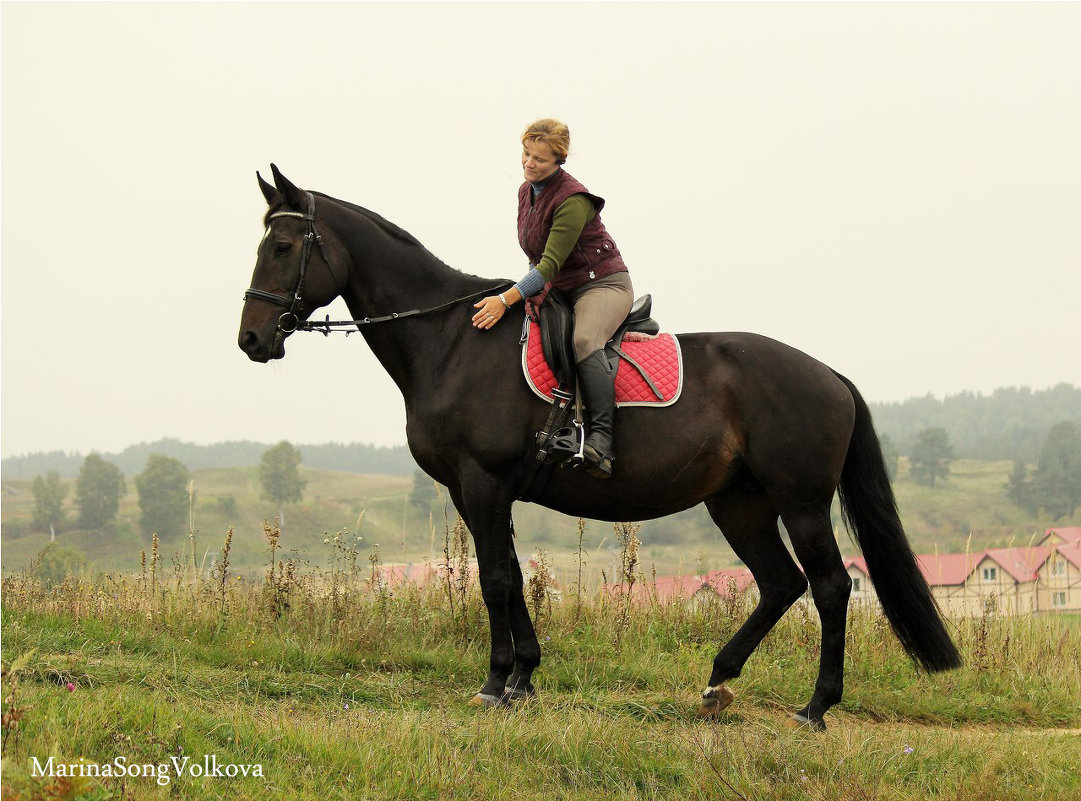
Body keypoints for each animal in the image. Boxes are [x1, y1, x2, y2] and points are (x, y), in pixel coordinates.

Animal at [241, 165, 959, 726]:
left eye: (283, 245)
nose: (251, 339)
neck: (451, 341)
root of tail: (829, 375)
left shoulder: (481, 481)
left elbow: (494, 577)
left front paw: (495, 682)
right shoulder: (480, 491)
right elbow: (512, 575)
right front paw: (524, 678)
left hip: (801, 501)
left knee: (831, 586)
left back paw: (815, 706)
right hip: (739, 502)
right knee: (780, 583)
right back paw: (717, 681)